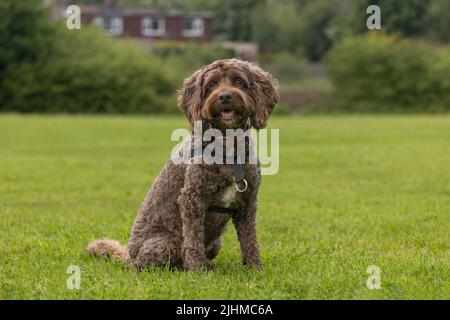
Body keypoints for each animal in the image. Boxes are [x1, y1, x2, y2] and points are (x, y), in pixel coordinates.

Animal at [87, 58, 278, 272]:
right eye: (211, 84)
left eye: (238, 81)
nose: (224, 96)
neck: (227, 147)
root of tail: (129, 256)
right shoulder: (192, 199)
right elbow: (193, 239)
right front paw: (196, 269)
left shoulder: (248, 203)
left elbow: (250, 239)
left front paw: (255, 268)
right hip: (165, 244)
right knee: (149, 264)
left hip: (215, 244)